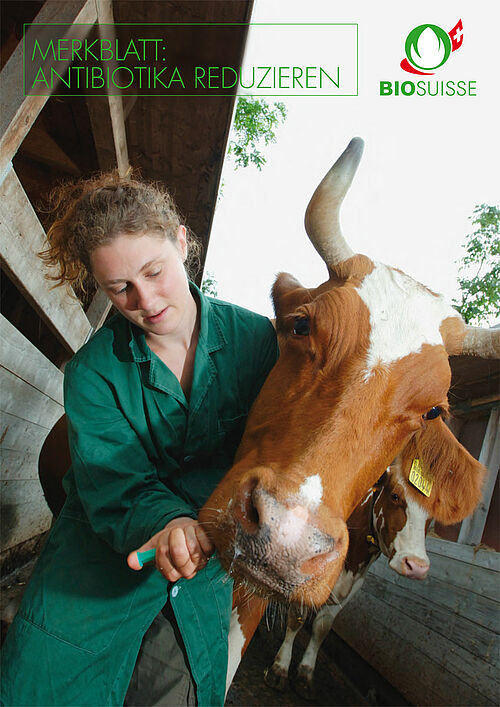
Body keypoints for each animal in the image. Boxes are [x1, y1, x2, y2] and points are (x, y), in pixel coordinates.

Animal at [264, 464, 432, 704]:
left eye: (433, 515)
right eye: (395, 495)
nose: (416, 565)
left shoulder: (347, 594)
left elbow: (321, 629)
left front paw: (305, 674)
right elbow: (296, 620)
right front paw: (280, 668)